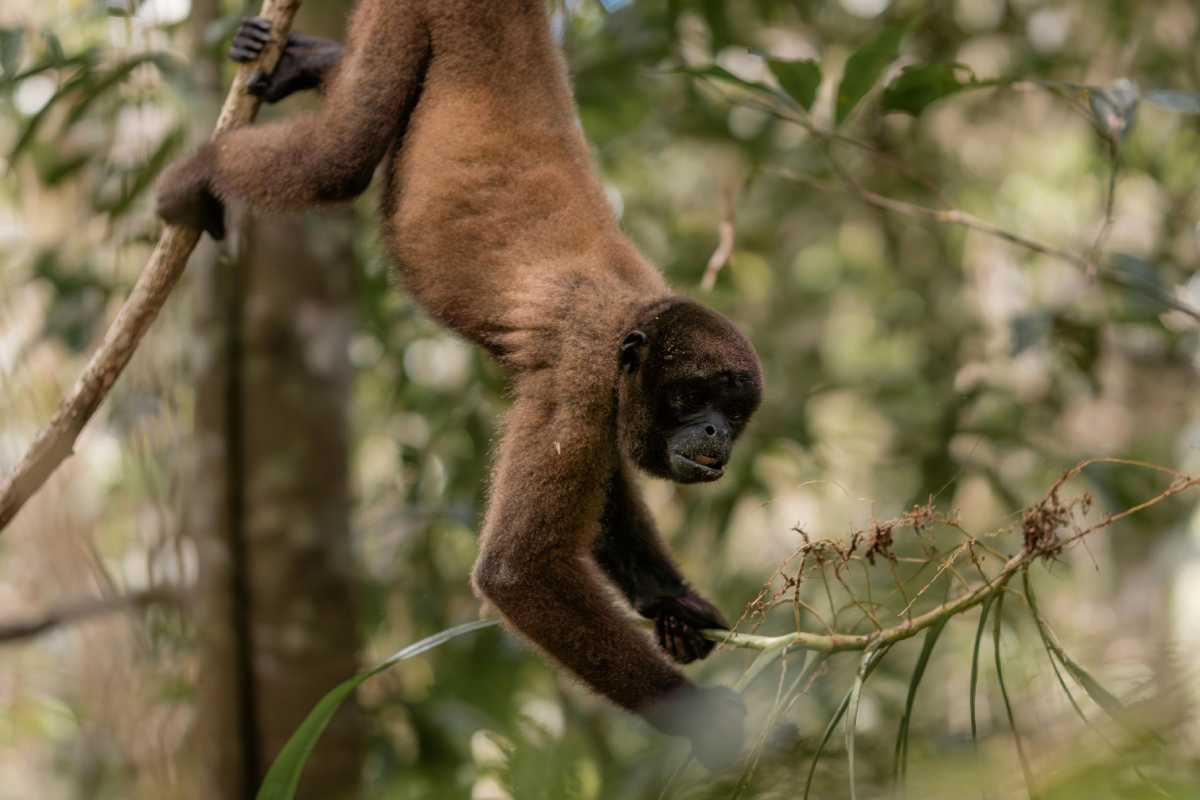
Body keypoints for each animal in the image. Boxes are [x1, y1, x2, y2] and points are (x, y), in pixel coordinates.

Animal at [157, 1, 763, 770]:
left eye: (734, 411)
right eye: (691, 396)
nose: (715, 432)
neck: (637, 316)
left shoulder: (606, 395)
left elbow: (604, 500)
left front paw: (671, 604)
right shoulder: (581, 371)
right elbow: (517, 572)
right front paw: (699, 717)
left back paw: (308, 59)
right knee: (340, 157)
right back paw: (195, 173)